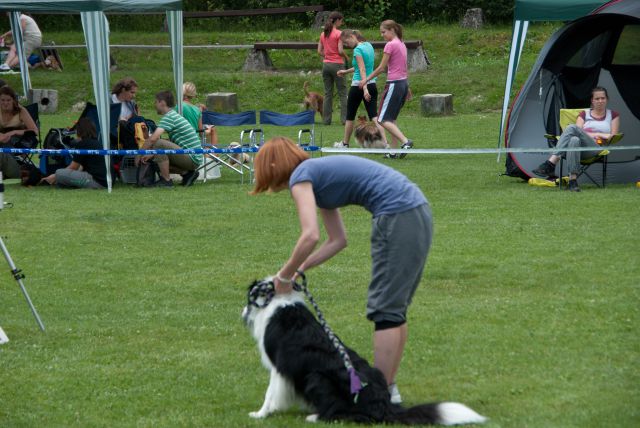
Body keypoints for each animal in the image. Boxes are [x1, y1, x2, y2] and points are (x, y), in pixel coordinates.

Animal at [242, 278, 488, 424]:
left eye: (249, 298)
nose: (242, 312)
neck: (278, 303)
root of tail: (384, 404)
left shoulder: (279, 366)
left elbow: (270, 393)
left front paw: (260, 414)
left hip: (317, 378)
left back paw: (316, 416)